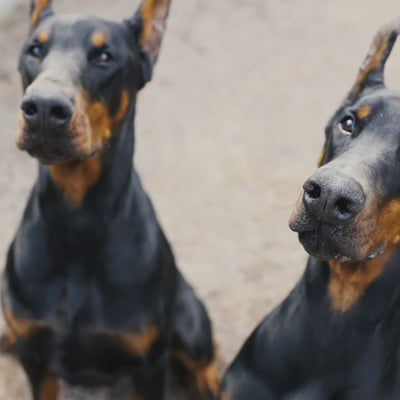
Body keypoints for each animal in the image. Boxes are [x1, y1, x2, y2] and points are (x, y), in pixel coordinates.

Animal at [0, 0, 217, 400]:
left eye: (104, 56)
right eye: (34, 50)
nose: (43, 107)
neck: (77, 219)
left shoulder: (150, 365)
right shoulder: (36, 360)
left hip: (190, 320)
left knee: (203, 359)